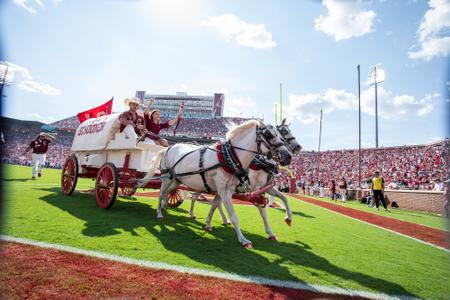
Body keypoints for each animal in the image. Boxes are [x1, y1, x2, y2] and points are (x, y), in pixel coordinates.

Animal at [143, 120, 292, 248]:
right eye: (269, 135)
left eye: (281, 136)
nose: (288, 155)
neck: (229, 157)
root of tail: (168, 147)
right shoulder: (232, 190)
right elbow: (236, 216)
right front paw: (244, 240)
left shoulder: (231, 189)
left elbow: (281, 199)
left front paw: (285, 221)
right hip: (166, 178)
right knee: (161, 193)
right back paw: (159, 213)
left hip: (179, 180)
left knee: (173, 193)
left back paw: (168, 207)